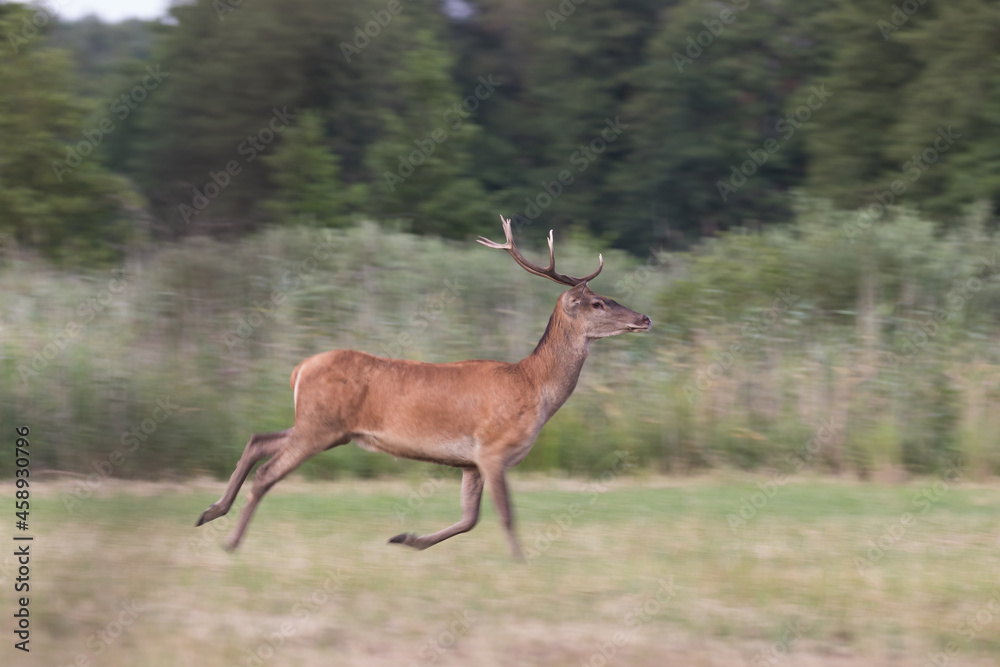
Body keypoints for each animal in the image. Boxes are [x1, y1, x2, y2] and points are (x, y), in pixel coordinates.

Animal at [196, 215, 651, 559]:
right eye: (598, 302)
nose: (645, 318)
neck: (533, 387)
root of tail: (299, 369)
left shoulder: (470, 461)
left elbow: (469, 518)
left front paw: (407, 538)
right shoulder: (493, 448)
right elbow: (504, 515)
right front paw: (522, 561)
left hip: (322, 427)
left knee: (258, 439)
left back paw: (210, 512)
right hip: (319, 428)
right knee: (267, 473)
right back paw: (231, 541)